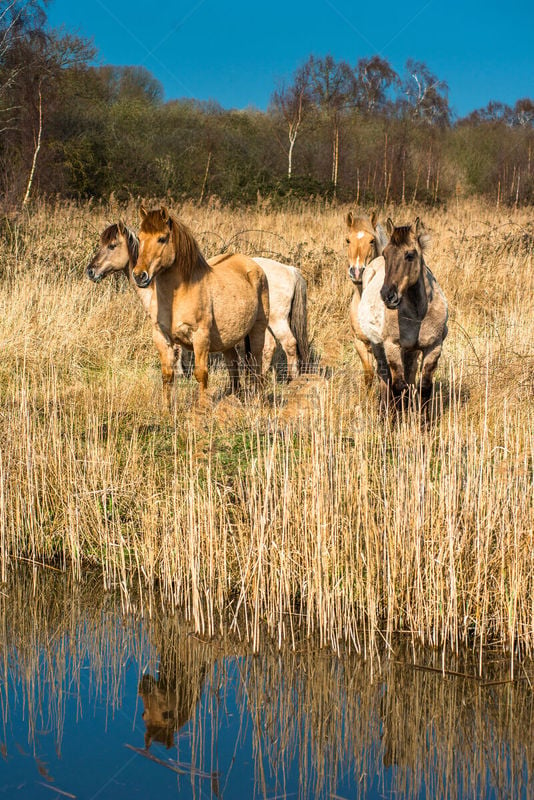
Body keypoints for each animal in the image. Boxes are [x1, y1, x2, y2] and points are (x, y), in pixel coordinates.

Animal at [86, 223, 308, 400]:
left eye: (112, 245)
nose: (91, 270)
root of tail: (290, 269)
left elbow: (177, 353)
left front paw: (180, 373)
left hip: (275, 321)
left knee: (288, 344)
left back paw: (291, 381)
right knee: (268, 348)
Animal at [132, 206, 270, 406]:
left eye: (162, 238)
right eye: (140, 236)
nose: (139, 276)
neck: (179, 294)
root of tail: (253, 265)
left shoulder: (200, 337)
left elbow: (201, 374)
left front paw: (202, 409)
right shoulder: (161, 337)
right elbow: (167, 375)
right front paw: (166, 410)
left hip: (258, 331)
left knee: (257, 363)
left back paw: (257, 401)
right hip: (228, 339)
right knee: (233, 365)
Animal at [358, 217, 450, 410]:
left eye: (410, 255)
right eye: (386, 254)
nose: (387, 295)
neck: (418, 313)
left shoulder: (434, 347)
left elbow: (424, 387)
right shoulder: (392, 346)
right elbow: (398, 386)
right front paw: (397, 417)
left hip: (410, 352)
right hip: (379, 346)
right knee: (385, 377)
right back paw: (384, 411)